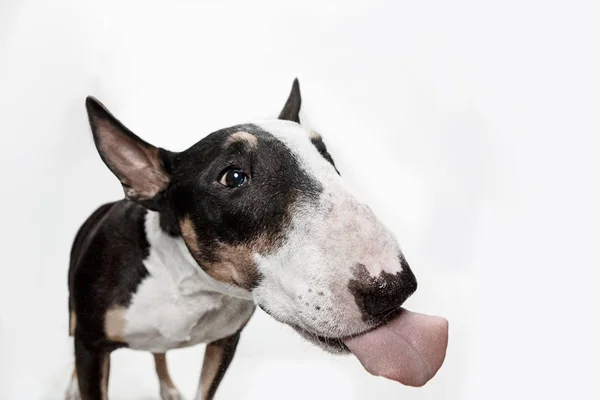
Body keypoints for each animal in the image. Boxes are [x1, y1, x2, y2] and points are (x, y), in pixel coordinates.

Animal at [67, 81, 450, 400]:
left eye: (326, 157)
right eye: (234, 177)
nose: (393, 288)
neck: (190, 288)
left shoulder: (225, 343)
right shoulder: (90, 345)